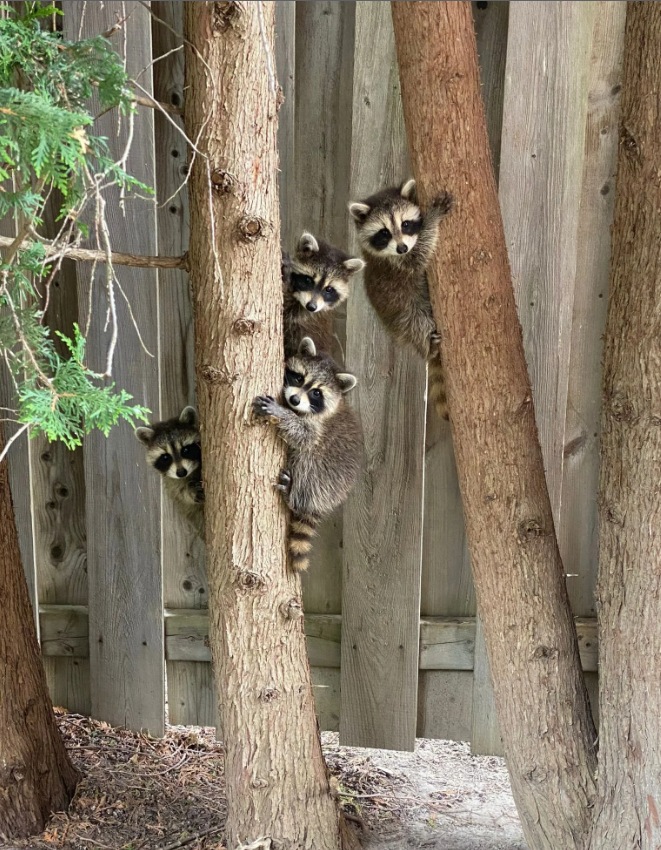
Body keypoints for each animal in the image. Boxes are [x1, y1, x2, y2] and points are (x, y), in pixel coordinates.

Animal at [135, 406, 204, 536]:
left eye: (185, 450)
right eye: (166, 457)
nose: (181, 473)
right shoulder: (172, 481)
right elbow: (181, 493)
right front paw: (190, 492)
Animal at [253, 336, 364, 568]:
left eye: (316, 393)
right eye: (298, 377)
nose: (294, 400)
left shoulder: (318, 429)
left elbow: (303, 436)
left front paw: (281, 413)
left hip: (323, 478)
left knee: (306, 462)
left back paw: (293, 495)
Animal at [348, 178, 452, 418]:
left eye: (405, 224)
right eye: (384, 233)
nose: (402, 247)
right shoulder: (398, 264)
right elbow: (418, 254)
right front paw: (433, 219)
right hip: (404, 316)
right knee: (417, 323)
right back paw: (428, 346)